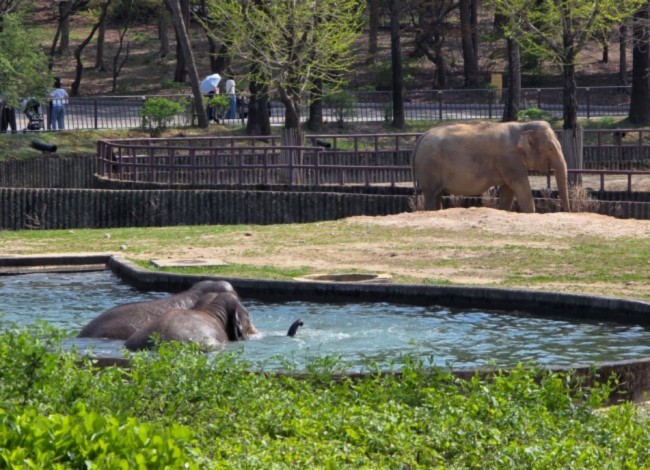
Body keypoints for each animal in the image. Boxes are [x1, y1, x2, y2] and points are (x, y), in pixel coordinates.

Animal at [411, 121, 571, 213]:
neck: (523, 126)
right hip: (428, 168)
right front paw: (531, 213)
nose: (566, 211)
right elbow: (520, 186)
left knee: (437, 194)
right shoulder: (510, 159)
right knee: (431, 194)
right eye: (550, 148)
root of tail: (422, 136)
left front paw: (504, 210)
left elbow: (508, 190)